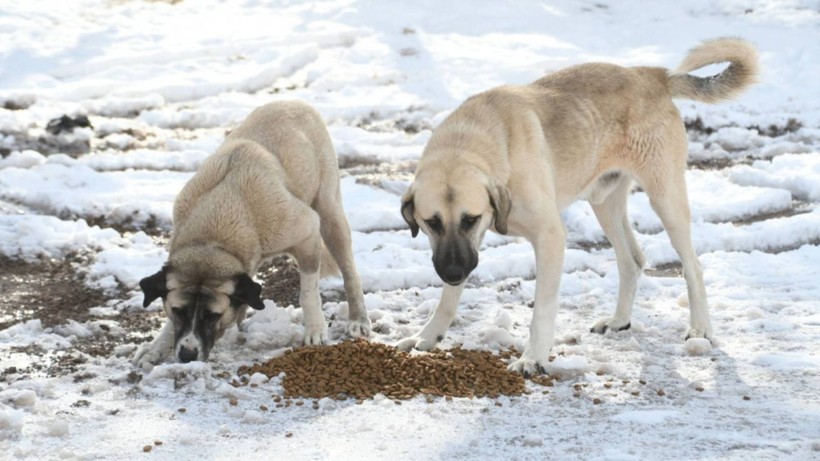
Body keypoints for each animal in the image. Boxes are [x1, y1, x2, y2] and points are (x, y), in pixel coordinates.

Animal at [134, 100, 372, 370]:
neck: (213, 238)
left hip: (330, 214)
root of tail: (294, 102)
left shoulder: (308, 230)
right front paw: (156, 347)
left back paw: (358, 319)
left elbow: (308, 293)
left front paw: (315, 330)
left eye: (213, 315)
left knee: (350, 272)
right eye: (178, 311)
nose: (187, 356)